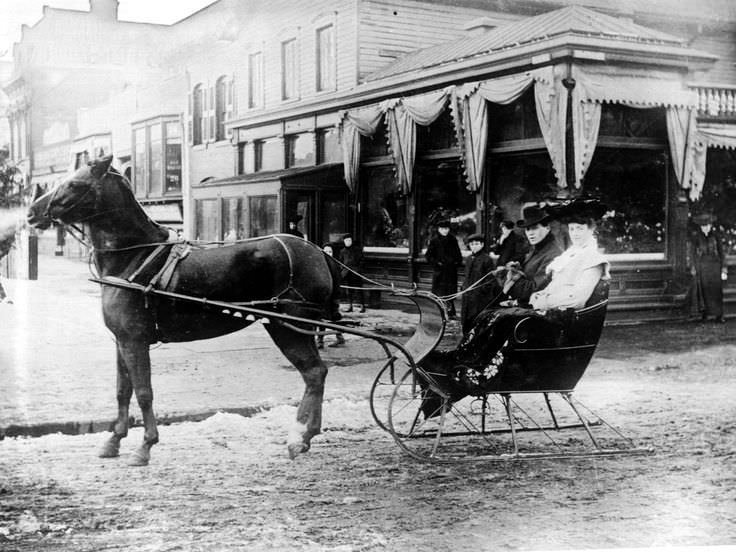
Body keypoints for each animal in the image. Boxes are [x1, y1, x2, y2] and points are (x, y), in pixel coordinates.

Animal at [25, 155, 342, 466]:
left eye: (75, 184)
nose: (32, 212)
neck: (134, 257)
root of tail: (317, 252)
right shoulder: (121, 341)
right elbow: (122, 390)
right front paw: (113, 441)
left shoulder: (135, 340)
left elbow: (144, 392)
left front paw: (145, 446)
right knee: (317, 373)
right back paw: (305, 436)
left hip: (288, 327)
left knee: (314, 373)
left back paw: (299, 436)